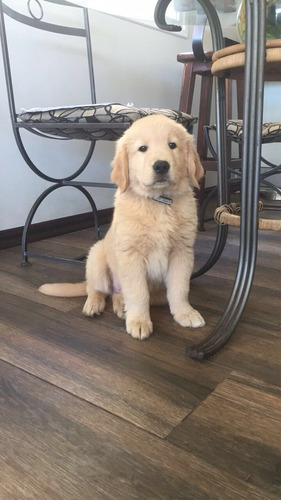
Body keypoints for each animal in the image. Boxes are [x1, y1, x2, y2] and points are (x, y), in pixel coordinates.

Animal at [38, 114, 203, 340]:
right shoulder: (131, 255)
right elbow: (138, 292)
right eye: (142, 148)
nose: (161, 166)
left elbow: (179, 288)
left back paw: (120, 305)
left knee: (120, 293)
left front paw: (185, 313)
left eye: (172, 145)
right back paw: (94, 305)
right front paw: (139, 322)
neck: (158, 203)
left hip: (157, 292)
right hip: (96, 257)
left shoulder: (182, 252)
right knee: (96, 289)